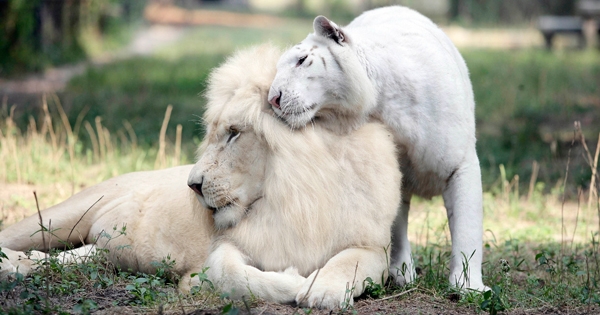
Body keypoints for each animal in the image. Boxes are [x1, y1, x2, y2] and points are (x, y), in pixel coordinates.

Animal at [2, 44, 404, 312]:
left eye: (234, 133)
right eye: (213, 134)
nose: (192, 185)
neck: (295, 196)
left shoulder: (374, 246)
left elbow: (350, 261)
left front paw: (323, 290)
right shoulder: (228, 246)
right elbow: (233, 275)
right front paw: (294, 280)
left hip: (100, 250)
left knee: (63, 258)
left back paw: (18, 265)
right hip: (60, 215)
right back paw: (8, 263)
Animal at [268, 5, 488, 292]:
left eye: (302, 60)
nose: (272, 99)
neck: (383, 101)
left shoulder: (461, 164)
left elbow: (467, 226)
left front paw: (468, 286)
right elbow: (395, 225)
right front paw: (402, 273)